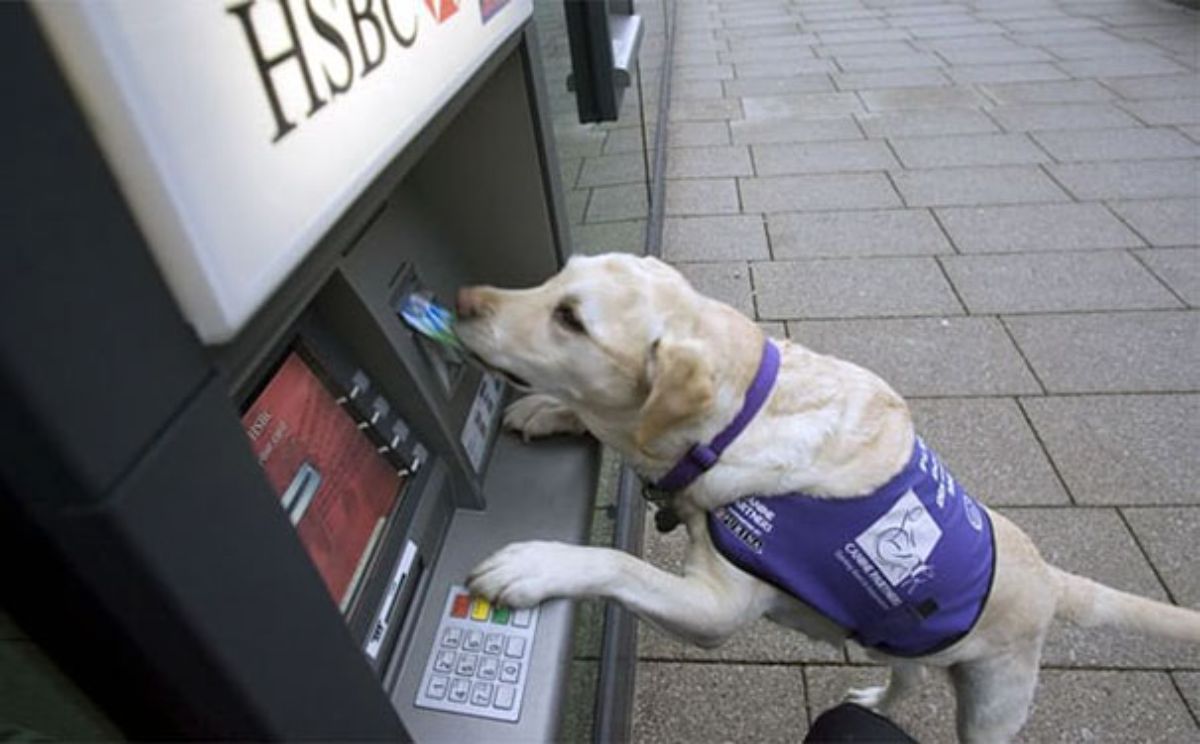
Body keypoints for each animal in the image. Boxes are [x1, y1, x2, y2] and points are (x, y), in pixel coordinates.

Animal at [453, 253, 1195, 739]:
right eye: (557, 276)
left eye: (570, 319)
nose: (462, 298)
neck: (739, 418)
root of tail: (1050, 577)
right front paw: (550, 410)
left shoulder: (714, 609)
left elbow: (616, 564)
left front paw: (537, 563)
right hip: (901, 643)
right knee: (908, 676)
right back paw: (873, 701)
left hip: (994, 703)